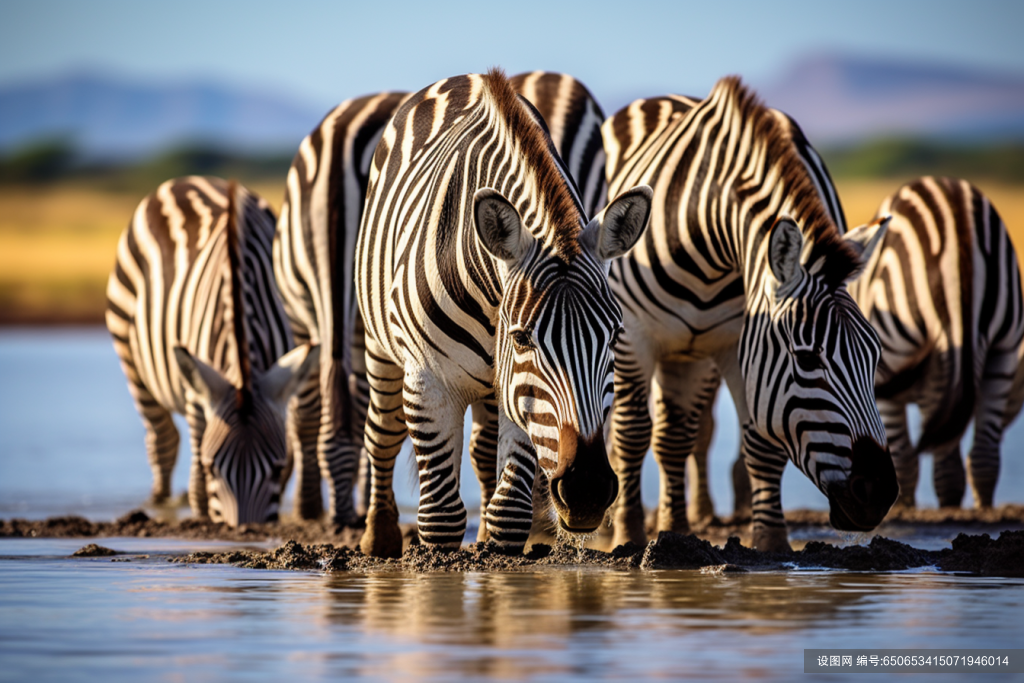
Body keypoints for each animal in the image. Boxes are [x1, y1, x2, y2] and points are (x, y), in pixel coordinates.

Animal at [105, 178, 317, 528]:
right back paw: (159, 501)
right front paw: (203, 513)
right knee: (163, 439)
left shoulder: (283, 379)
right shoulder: (198, 389)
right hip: (128, 350)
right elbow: (198, 477)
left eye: (274, 469)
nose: (244, 530)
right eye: (212, 467)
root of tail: (184, 180)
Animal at [356, 68, 651, 557]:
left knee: (482, 452)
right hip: (379, 347)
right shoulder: (429, 383)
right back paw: (378, 539)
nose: (587, 490)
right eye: (522, 337)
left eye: (612, 336)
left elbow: (509, 513)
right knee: (382, 433)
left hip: (496, 391)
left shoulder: (521, 398)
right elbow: (440, 519)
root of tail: (463, 77)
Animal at [602, 77, 901, 552]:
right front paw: (627, 538)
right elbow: (631, 433)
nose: (879, 494)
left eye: (874, 358)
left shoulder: (743, 344)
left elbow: (760, 441)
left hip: (691, 355)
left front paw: (771, 543)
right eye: (807, 359)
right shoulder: (634, 334)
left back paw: (675, 529)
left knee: (674, 438)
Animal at [847, 176, 1024, 507]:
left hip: (899, 352)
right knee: (982, 459)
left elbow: (906, 463)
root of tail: (959, 229)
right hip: (1001, 349)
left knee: (913, 462)